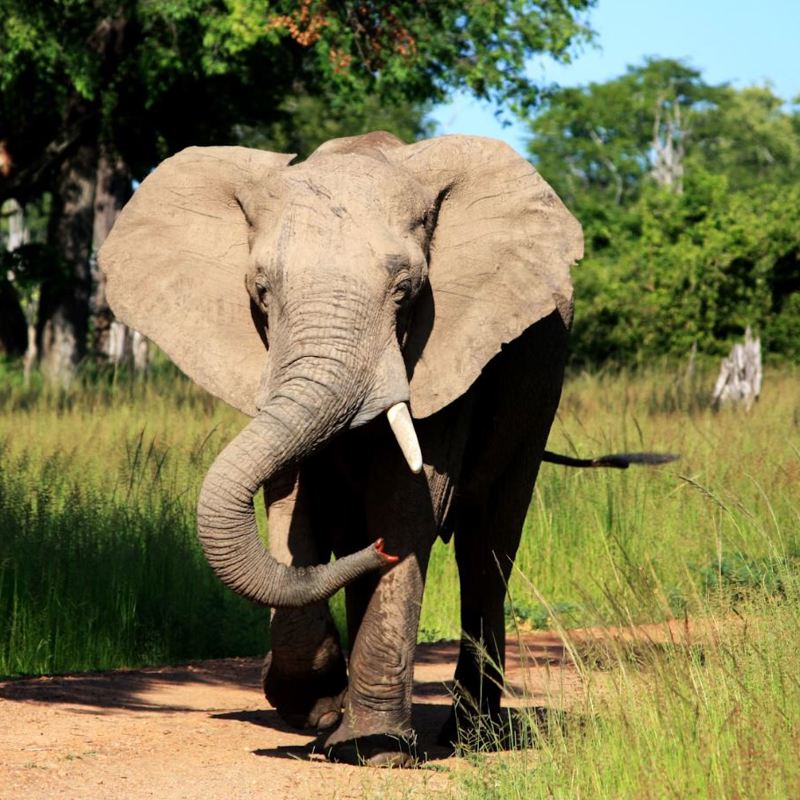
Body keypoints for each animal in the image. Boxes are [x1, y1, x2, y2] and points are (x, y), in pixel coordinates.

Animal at [99, 131, 583, 766]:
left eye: (407, 291)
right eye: (260, 291)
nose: (378, 553)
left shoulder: (447, 350)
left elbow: (409, 503)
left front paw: (374, 750)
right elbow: (288, 508)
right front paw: (320, 709)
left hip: (540, 391)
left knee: (486, 546)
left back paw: (468, 736)